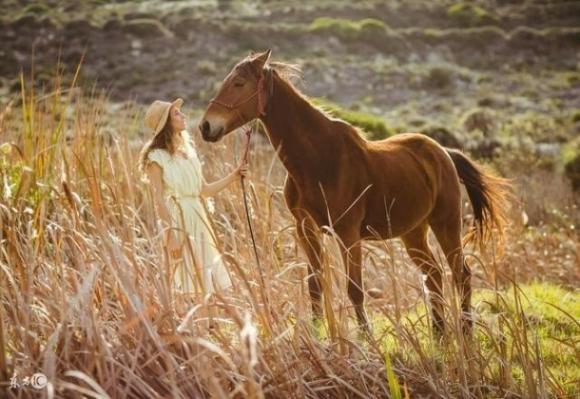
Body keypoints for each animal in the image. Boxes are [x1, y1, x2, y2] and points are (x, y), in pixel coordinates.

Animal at [199, 50, 512, 338]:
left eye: (239, 83)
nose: (206, 126)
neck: (319, 159)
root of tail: (444, 153)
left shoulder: (348, 234)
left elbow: (355, 289)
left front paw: (365, 340)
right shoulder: (306, 230)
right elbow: (315, 285)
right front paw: (318, 335)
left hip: (446, 224)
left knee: (460, 274)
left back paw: (466, 330)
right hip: (413, 232)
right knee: (433, 274)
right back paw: (439, 332)